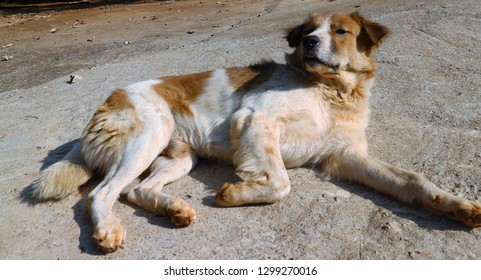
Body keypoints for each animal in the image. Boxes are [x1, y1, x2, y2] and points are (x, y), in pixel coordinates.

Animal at [32, 12, 480, 254]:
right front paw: (235, 194)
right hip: (151, 134)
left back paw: (174, 209)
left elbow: (412, 181)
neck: (331, 90)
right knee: (102, 192)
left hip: (179, 156)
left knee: (134, 190)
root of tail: (107, 101)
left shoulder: (344, 156)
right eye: (308, 31)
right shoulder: (255, 119)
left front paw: (456, 206)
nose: (310, 41)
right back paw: (108, 229)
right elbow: (281, 183)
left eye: (341, 32)